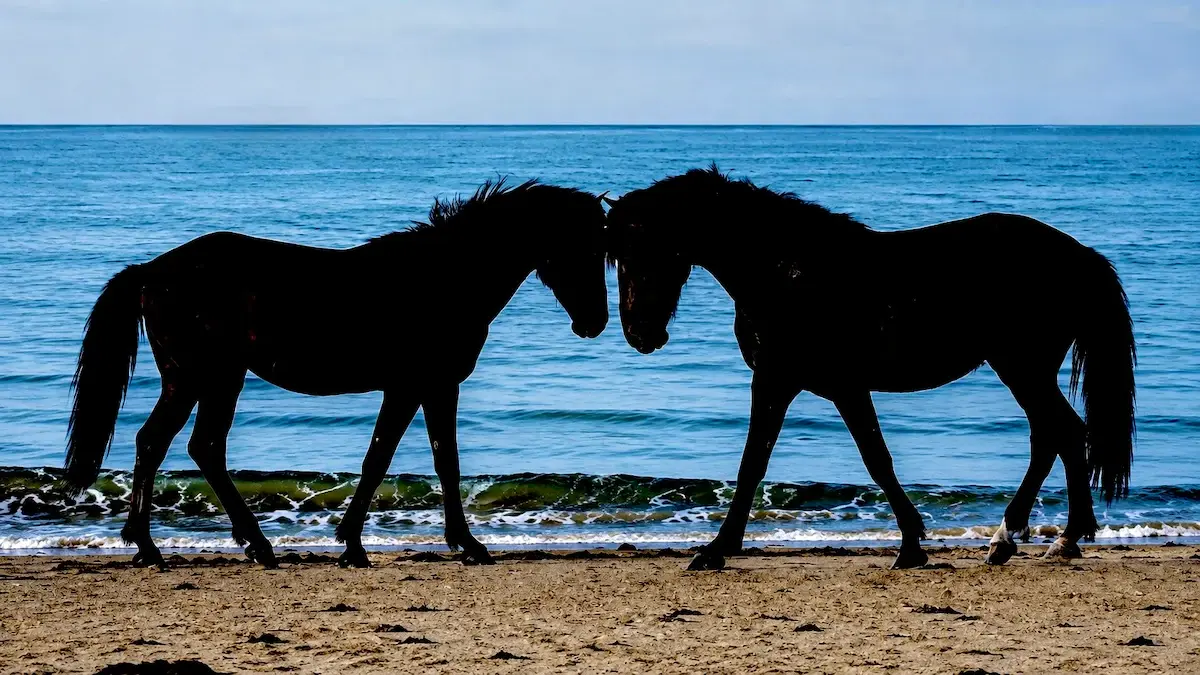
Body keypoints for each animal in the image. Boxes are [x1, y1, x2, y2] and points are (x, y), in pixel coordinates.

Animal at [65, 178, 609, 569]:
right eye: (580, 248)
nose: (595, 322)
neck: (442, 277)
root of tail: (150, 272)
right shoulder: (416, 385)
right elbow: (393, 459)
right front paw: (361, 545)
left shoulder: (428, 387)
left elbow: (428, 460)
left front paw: (452, 542)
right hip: (201, 377)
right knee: (170, 444)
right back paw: (170, 547)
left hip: (211, 380)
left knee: (190, 447)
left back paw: (232, 545)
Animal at [604, 166, 1135, 570]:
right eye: (618, 257)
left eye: (647, 252)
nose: (641, 334)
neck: (785, 273)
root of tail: (1077, 254)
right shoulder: (800, 384)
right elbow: (773, 463)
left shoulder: (810, 383)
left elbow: (851, 460)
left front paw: (716, 550)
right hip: (1026, 370)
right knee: (1057, 435)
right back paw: (1044, 539)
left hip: (1022, 367)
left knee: (1059, 432)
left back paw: (1032, 538)